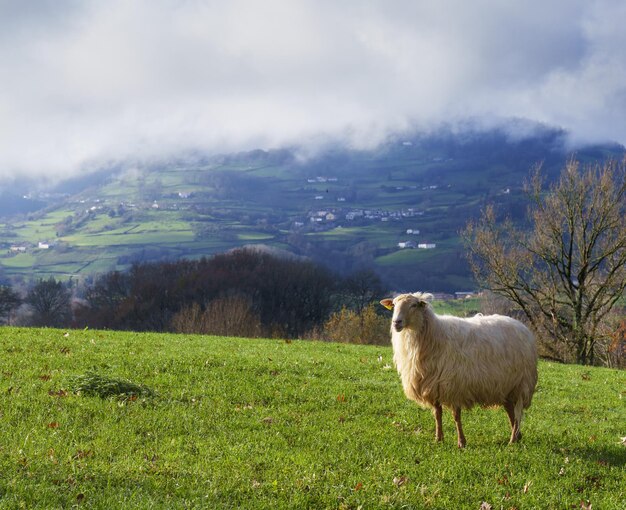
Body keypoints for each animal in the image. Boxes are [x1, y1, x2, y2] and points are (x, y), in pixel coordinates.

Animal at [380, 292, 536, 448]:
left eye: (413, 305)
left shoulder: (454, 385)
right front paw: (438, 439)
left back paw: (512, 440)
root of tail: (522, 327)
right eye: (394, 305)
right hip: (506, 385)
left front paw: (461, 442)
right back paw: (517, 436)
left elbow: (456, 416)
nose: (396, 322)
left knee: (518, 413)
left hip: (521, 384)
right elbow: (437, 414)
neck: (432, 335)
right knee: (510, 410)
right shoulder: (434, 385)